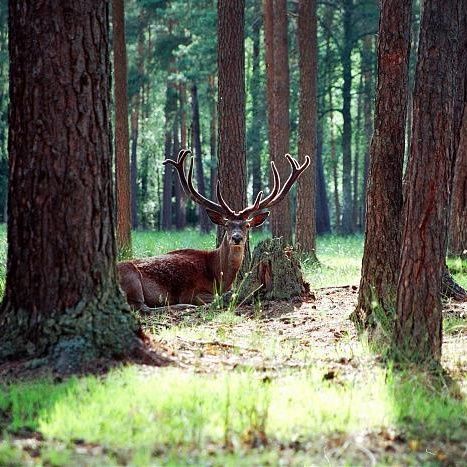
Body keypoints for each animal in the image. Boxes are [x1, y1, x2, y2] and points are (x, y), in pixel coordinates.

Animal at [118, 150, 310, 314]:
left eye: (247, 226)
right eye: (226, 225)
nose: (237, 238)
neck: (218, 275)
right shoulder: (191, 291)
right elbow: (217, 297)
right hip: (131, 277)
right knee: (141, 307)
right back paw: (184, 307)